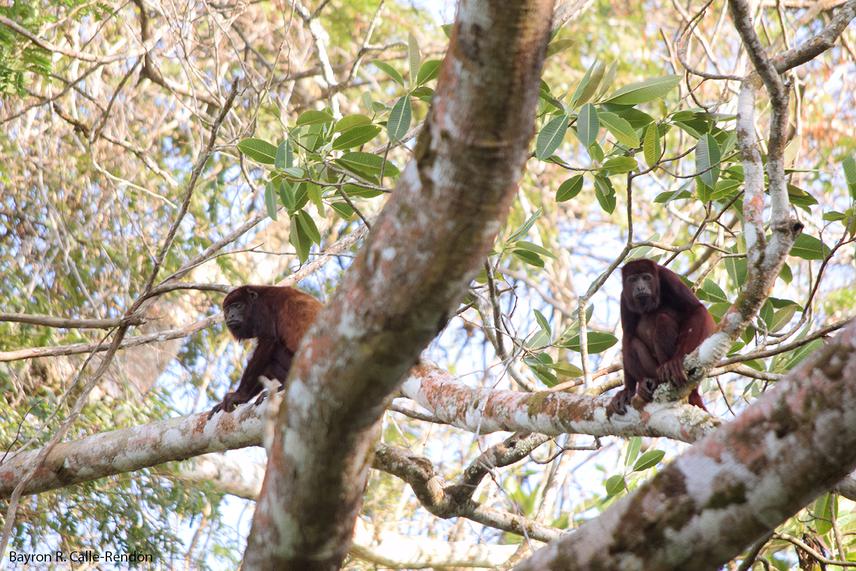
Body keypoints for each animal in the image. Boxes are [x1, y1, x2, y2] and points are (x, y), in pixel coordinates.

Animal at [209, 284, 322, 418]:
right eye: (227, 309)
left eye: (238, 306)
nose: (230, 315)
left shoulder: (263, 309)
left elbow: (268, 341)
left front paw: (239, 396)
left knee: (276, 352)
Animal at [608, 260, 716, 416]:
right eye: (633, 280)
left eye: (646, 277)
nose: (640, 287)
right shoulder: (624, 296)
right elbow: (627, 335)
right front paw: (627, 391)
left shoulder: (668, 278)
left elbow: (697, 310)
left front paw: (677, 360)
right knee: (632, 341)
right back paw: (646, 383)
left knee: (663, 319)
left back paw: (668, 369)